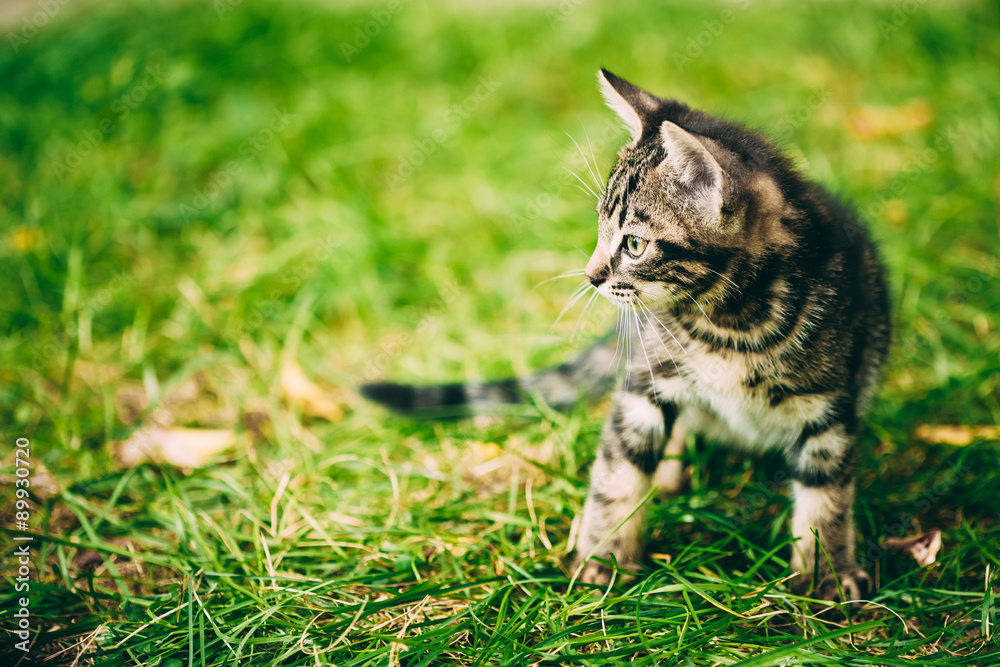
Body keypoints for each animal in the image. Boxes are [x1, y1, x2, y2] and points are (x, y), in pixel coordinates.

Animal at [366, 70, 892, 604]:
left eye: (634, 244)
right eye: (600, 229)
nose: (591, 275)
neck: (729, 323)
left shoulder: (831, 409)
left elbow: (826, 499)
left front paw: (829, 574)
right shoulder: (645, 386)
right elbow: (616, 477)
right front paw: (601, 559)